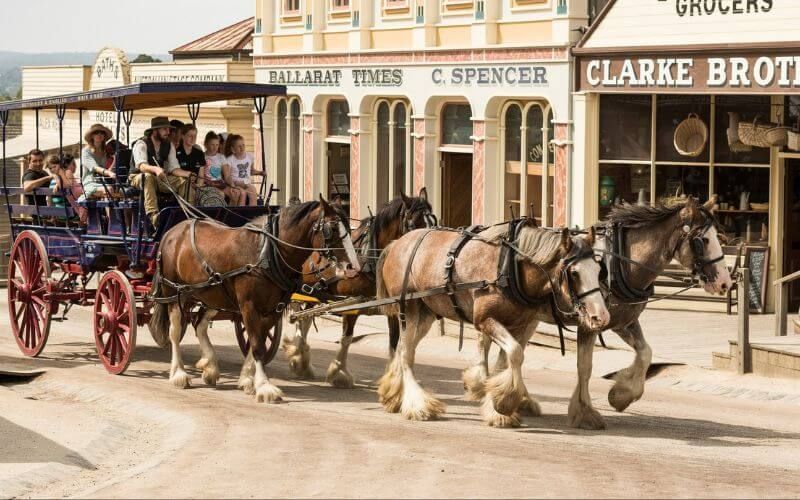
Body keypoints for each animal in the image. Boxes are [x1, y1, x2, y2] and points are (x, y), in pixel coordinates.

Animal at [148, 197, 360, 404]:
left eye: (349, 229)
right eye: (332, 229)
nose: (353, 267)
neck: (267, 252)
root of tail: (172, 232)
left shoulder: (273, 309)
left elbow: (256, 342)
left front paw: (247, 379)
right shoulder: (249, 306)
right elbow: (257, 345)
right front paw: (265, 387)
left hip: (211, 294)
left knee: (199, 323)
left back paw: (210, 366)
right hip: (175, 293)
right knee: (175, 332)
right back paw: (179, 373)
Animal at [282, 188, 432, 386]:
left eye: (434, 221)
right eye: (414, 223)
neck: (370, 257)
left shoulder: (390, 305)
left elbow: (394, 342)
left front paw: (393, 379)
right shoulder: (350, 302)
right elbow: (346, 338)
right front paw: (339, 372)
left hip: (313, 292)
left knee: (304, 320)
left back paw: (301, 360)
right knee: (300, 318)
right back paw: (299, 358)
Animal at [372, 225, 608, 428]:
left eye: (599, 270)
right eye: (574, 273)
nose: (601, 317)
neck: (510, 267)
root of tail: (396, 243)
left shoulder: (519, 324)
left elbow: (507, 362)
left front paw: (498, 403)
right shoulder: (486, 320)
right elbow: (515, 353)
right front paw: (503, 404)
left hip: (425, 313)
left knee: (402, 349)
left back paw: (393, 395)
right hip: (409, 309)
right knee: (406, 354)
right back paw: (418, 405)